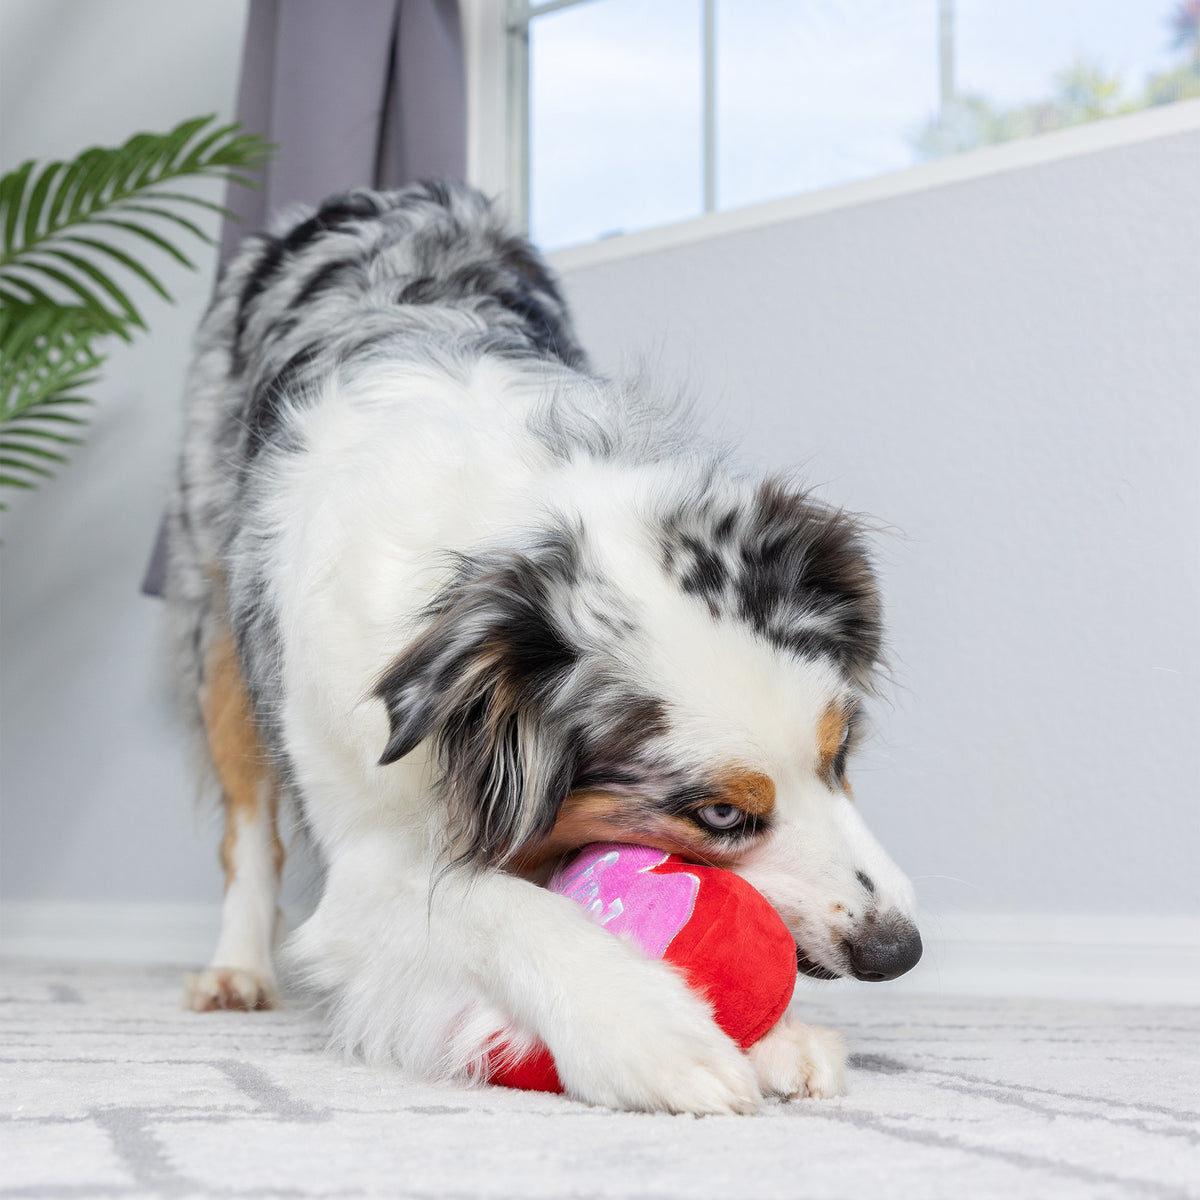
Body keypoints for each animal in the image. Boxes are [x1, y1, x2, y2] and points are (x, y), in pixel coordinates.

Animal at [164, 180, 921, 1113]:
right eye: (718, 814)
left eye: (840, 752)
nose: (898, 950)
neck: (504, 530)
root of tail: (372, 195)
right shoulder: (368, 853)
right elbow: (507, 909)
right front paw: (656, 1036)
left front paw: (781, 1036)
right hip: (218, 616)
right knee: (247, 827)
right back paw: (236, 969)